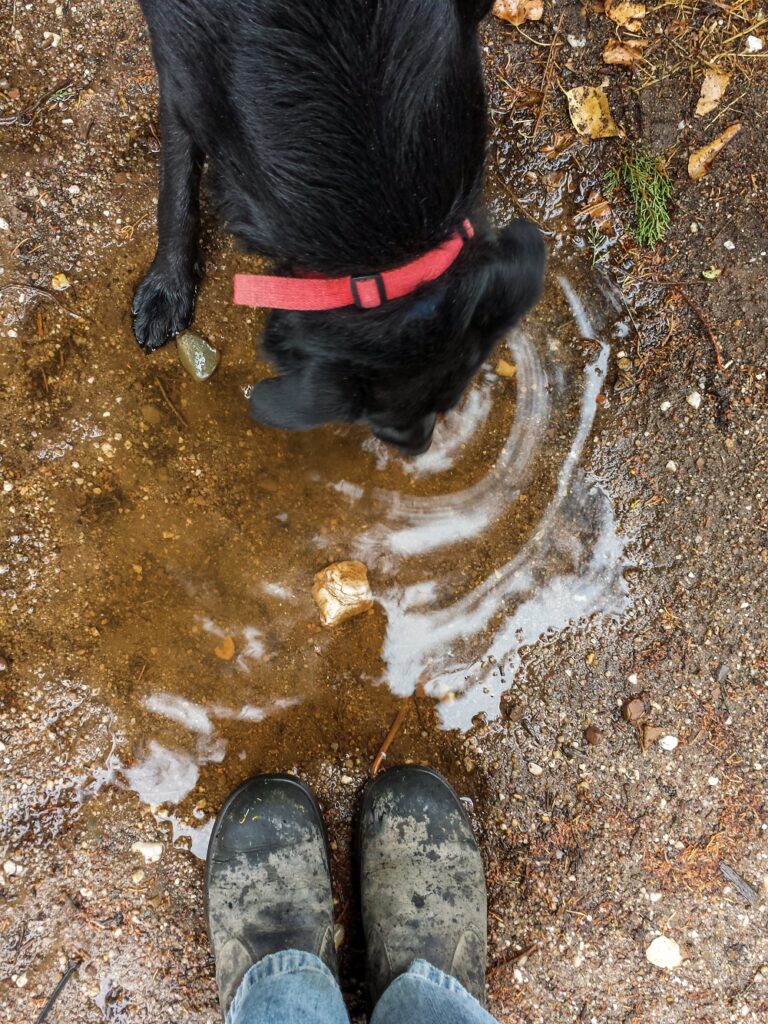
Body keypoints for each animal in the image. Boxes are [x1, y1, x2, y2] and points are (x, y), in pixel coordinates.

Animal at [132, 0, 544, 456]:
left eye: (447, 402)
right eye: (376, 418)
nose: (419, 448)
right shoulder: (180, 73)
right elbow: (177, 189)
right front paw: (167, 289)